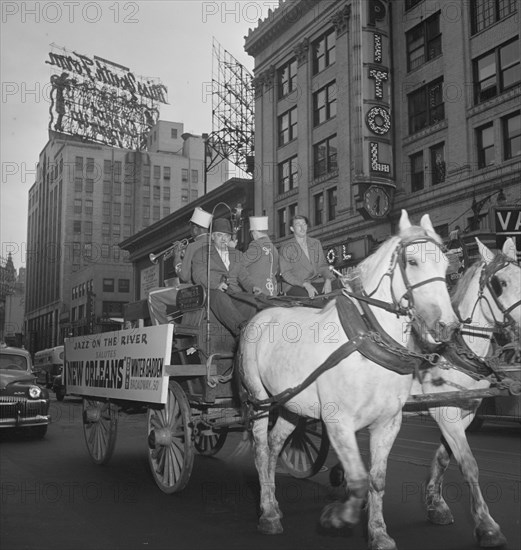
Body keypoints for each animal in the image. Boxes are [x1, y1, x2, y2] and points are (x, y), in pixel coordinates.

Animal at [240, 212, 460, 550]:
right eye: (411, 261)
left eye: (446, 266)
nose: (446, 327)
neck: (369, 339)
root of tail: (261, 314)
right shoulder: (338, 421)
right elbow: (357, 478)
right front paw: (339, 516)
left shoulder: (389, 422)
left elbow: (377, 479)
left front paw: (379, 533)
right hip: (260, 398)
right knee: (262, 449)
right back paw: (267, 514)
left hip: (291, 402)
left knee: (276, 445)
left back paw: (274, 504)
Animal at [412, 239, 516, 548]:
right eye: (500, 283)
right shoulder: (444, 410)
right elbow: (469, 464)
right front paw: (487, 526)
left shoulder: (467, 409)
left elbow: (445, 456)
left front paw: (435, 505)